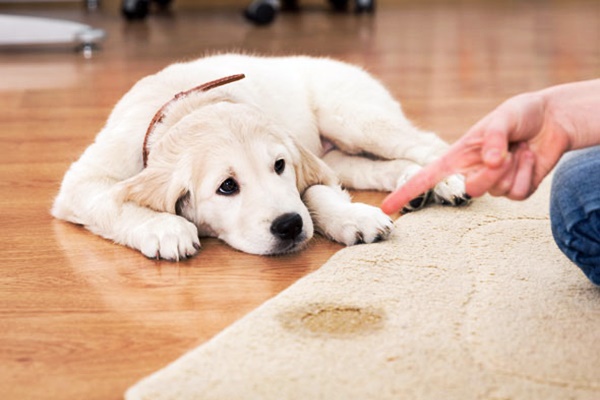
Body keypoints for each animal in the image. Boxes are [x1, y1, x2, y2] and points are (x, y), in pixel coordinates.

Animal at [52, 53, 468, 260]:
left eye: (279, 166)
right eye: (227, 187)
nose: (289, 226)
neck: (187, 106)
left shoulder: (305, 163)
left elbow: (315, 194)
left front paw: (352, 217)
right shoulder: (82, 182)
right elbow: (113, 202)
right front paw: (164, 228)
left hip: (353, 116)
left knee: (425, 142)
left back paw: (447, 181)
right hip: (340, 152)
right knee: (375, 166)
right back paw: (413, 185)